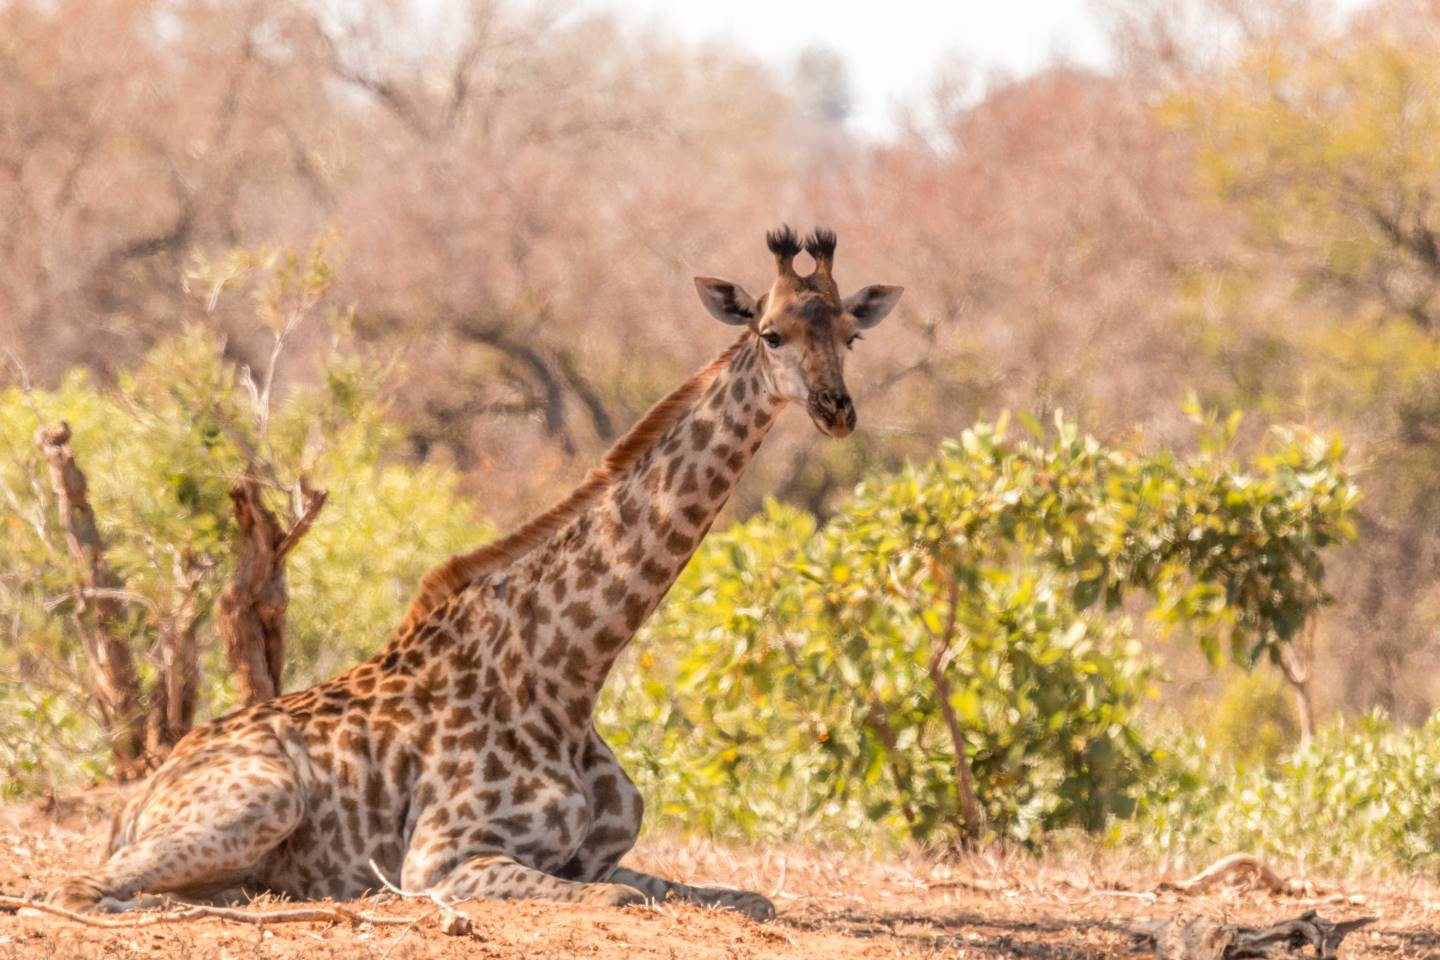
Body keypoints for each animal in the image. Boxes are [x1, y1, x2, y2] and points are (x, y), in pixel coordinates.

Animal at [53, 227, 898, 921]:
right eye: (772, 333)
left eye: (852, 336)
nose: (836, 409)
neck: (570, 676)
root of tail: (137, 798)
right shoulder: (441, 860)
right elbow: (622, 900)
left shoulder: (599, 855)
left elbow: (742, 897)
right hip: (265, 795)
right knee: (86, 887)